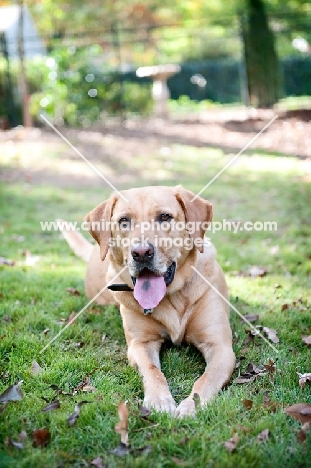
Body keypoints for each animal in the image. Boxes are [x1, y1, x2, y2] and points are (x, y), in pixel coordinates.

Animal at [62, 186, 235, 416]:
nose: (141, 253)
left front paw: (191, 406)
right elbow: (153, 371)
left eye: (165, 217)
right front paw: (159, 399)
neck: (172, 295)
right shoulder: (140, 344)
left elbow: (205, 380)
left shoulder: (220, 346)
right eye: (124, 221)